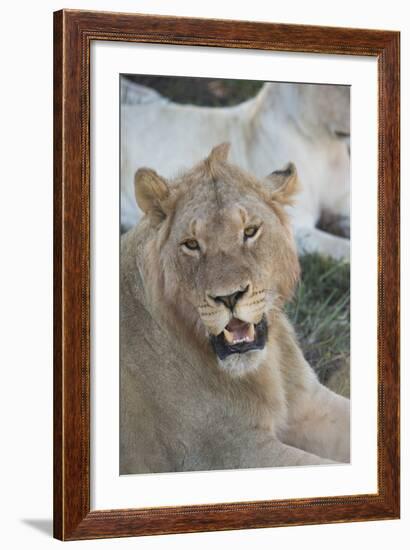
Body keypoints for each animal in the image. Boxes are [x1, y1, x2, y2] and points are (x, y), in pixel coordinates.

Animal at [120, 142, 350, 474]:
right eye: (191, 244)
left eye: (250, 231)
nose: (229, 297)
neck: (266, 366)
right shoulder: (228, 452)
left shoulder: (310, 403)